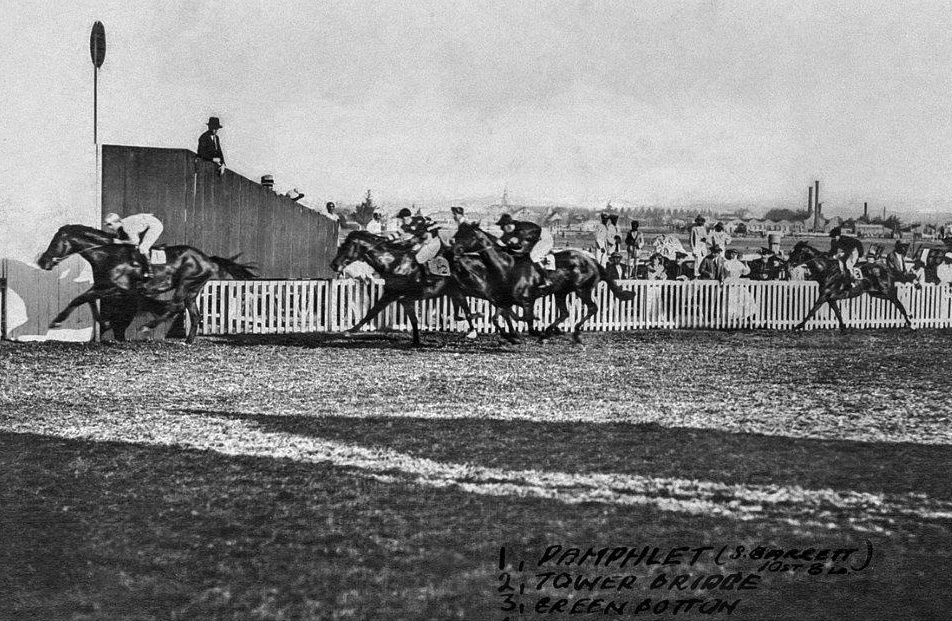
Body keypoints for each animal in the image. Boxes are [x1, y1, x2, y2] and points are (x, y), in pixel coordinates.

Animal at [37, 223, 256, 342]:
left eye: (55, 241)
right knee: (194, 314)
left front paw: (57, 321)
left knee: (176, 306)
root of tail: (208, 259)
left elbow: (80, 298)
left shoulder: (118, 289)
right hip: (193, 290)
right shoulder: (106, 287)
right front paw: (103, 322)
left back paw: (148, 326)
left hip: (186, 283)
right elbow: (88, 299)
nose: (43, 261)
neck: (108, 254)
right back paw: (188, 340)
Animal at [330, 230, 480, 346]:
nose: (334, 265)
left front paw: (349, 331)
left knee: (468, 309)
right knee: (462, 312)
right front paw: (416, 341)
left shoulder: (395, 295)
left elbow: (372, 312)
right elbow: (410, 320)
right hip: (455, 291)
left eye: (346, 246)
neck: (393, 264)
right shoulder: (397, 297)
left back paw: (473, 329)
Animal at [452, 220, 636, 342]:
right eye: (457, 234)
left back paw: (574, 333)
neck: (507, 266)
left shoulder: (527, 300)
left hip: (582, 289)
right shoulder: (505, 299)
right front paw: (511, 336)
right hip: (561, 292)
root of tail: (592, 260)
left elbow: (527, 321)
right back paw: (549, 331)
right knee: (565, 313)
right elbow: (497, 318)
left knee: (592, 308)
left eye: (466, 236)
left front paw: (530, 331)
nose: (452, 250)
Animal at [784, 241, 912, 332]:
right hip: (875, 293)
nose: (786, 265)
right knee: (895, 302)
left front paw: (798, 326)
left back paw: (910, 322)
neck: (827, 269)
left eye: (795, 253)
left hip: (887, 291)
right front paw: (843, 327)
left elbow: (812, 310)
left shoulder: (823, 296)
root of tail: (887, 268)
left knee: (899, 303)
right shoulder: (830, 298)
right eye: (790, 252)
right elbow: (837, 313)